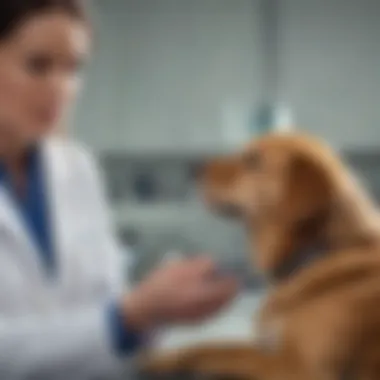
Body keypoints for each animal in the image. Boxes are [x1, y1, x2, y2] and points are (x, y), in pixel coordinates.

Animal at [141, 132, 380, 378]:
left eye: (253, 160)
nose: (193, 168)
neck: (314, 254)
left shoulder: (300, 368)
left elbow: (223, 350)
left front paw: (166, 359)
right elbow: (220, 346)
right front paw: (169, 357)